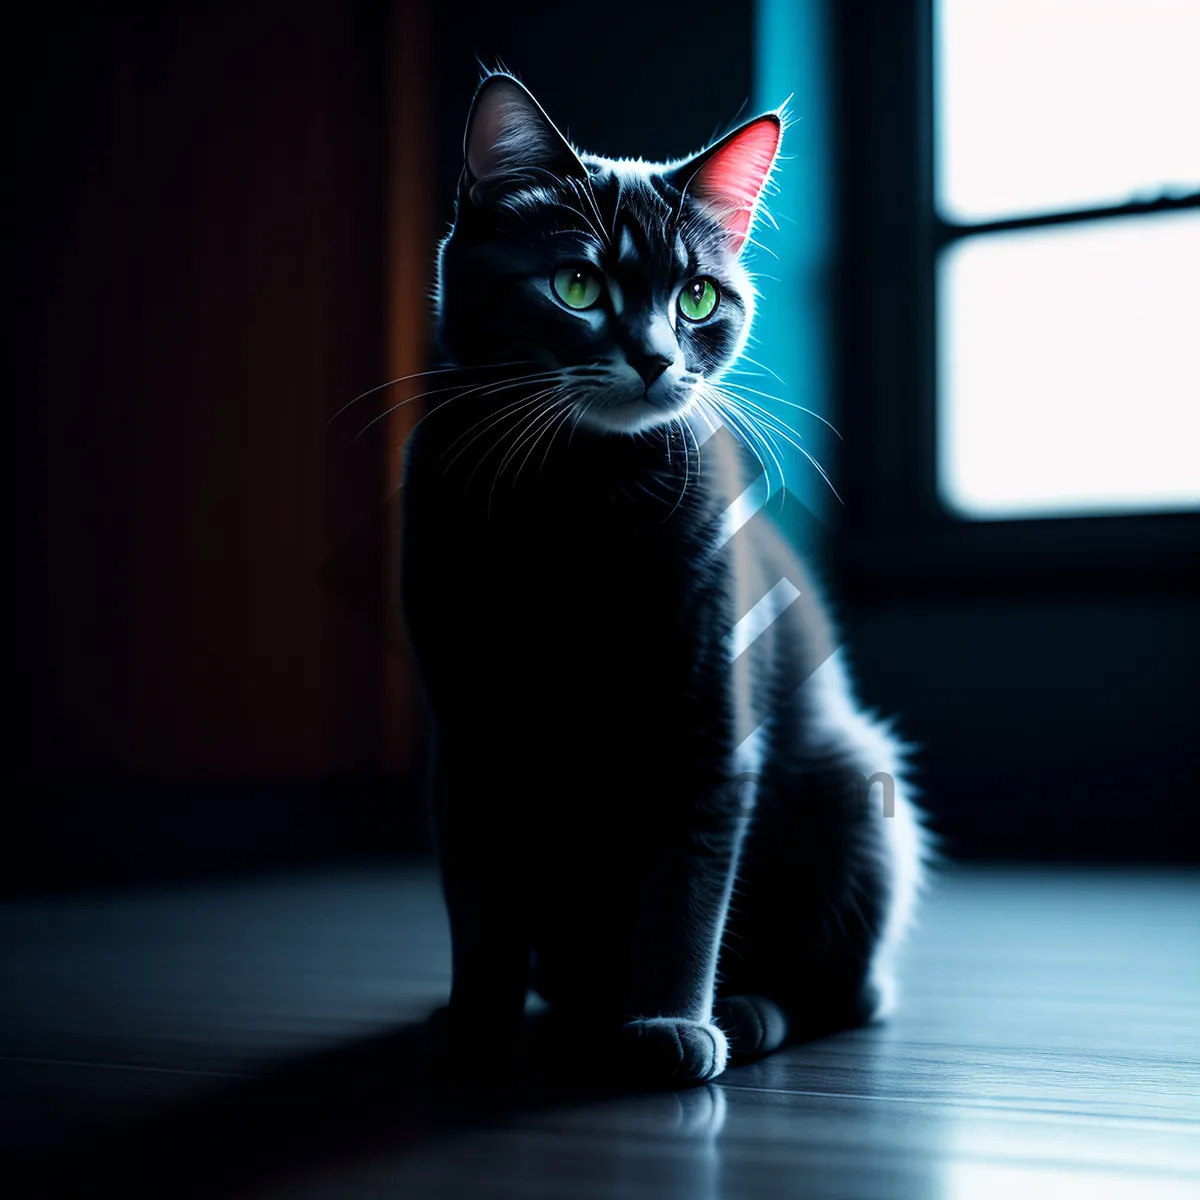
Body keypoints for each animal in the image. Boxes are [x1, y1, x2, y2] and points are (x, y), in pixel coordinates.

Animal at [400, 72, 926, 1089]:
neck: (577, 499)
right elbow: (477, 893)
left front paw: (670, 1023)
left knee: (851, 992)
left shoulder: (707, 722)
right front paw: (476, 1021)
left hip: (854, 783)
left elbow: (686, 890)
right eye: (577, 285)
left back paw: (747, 1014)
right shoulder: (468, 729)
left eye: (697, 297)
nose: (654, 357)